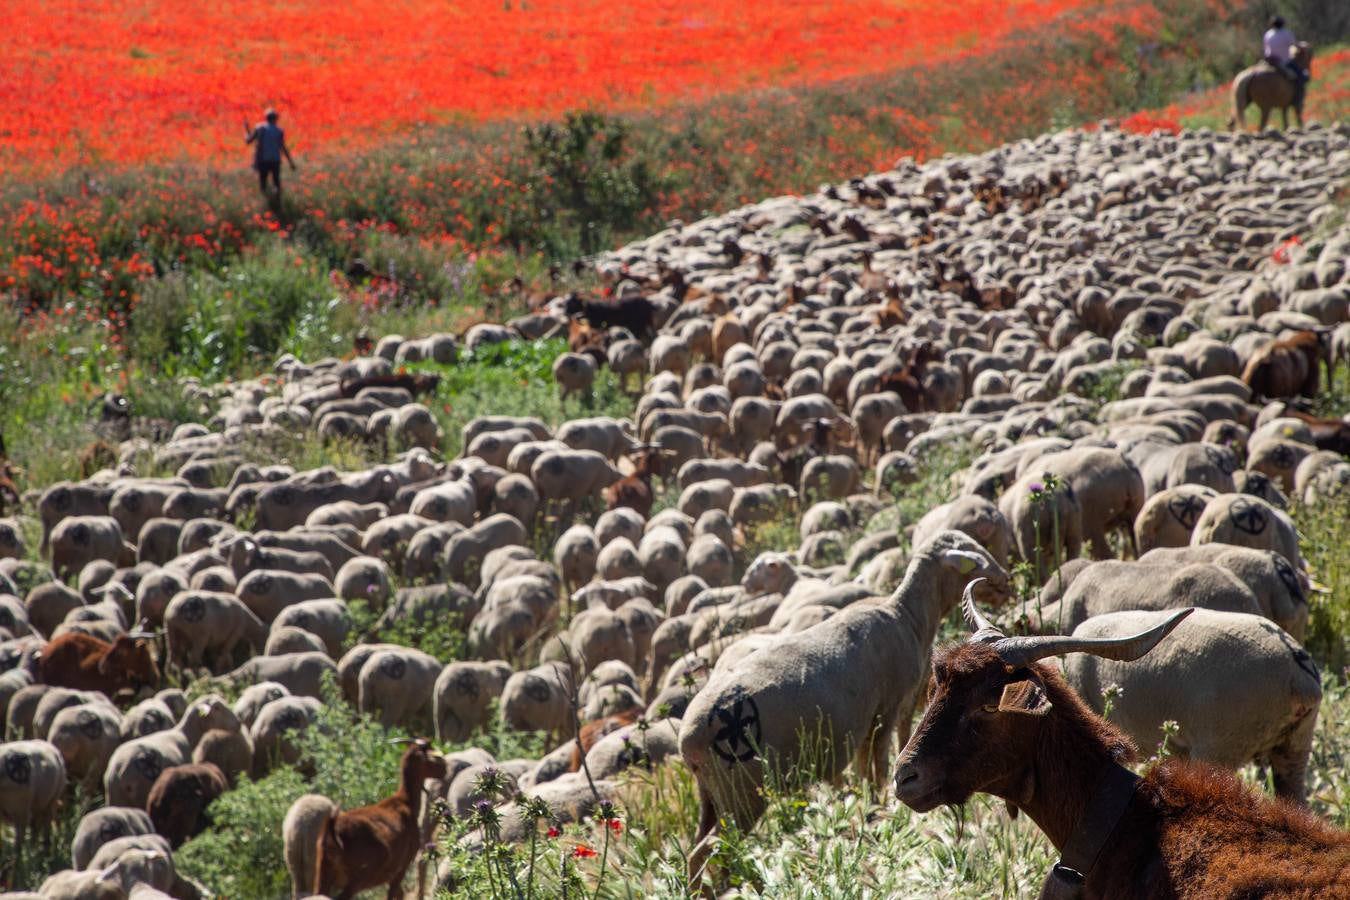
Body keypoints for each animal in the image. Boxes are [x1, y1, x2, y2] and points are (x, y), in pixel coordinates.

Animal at [314, 738, 449, 898]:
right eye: (432, 755)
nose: (444, 768)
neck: (405, 802)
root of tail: (333, 831)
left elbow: (400, 893)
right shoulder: (402, 866)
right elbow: (393, 893)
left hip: (323, 872)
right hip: (358, 877)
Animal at [680, 531, 1010, 886]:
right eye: (973, 554)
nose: (1005, 579)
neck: (908, 617)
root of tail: (687, 742)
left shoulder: (866, 719)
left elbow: (864, 767)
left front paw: (869, 807)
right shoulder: (887, 707)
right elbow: (880, 764)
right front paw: (881, 805)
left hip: (711, 792)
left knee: (699, 849)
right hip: (741, 791)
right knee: (714, 848)